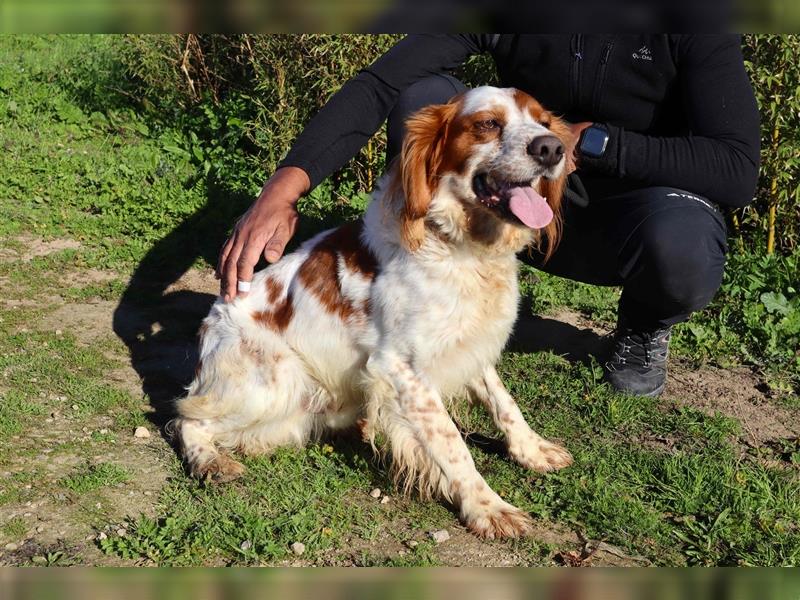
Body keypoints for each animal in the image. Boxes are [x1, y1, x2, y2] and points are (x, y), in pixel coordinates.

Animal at [176, 85, 576, 540]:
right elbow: (452, 444)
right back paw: (210, 461)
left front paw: (532, 449)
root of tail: (213, 317)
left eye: (543, 122)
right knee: (188, 415)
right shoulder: (401, 367)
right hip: (275, 384)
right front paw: (487, 506)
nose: (552, 148)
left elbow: (504, 402)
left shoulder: (468, 343)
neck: (462, 247)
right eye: (488, 123)